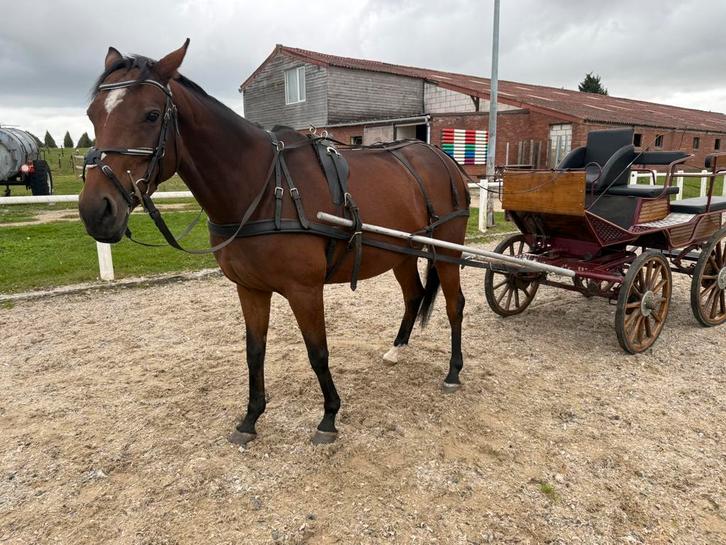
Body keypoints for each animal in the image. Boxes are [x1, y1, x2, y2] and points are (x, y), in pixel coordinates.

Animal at [79, 40, 470, 445]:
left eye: (152, 115)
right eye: (93, 114)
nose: (96, 211)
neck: (265, 189)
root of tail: (441, 157)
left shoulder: (305, 290)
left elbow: (317, 352)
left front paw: (329, 417)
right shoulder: (249, 288)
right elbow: (254, 351)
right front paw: (251, 417)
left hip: (448, 249)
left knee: (455, 304)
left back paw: (453, 372)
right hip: (401, 253)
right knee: (414, 295)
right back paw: (396, 351)